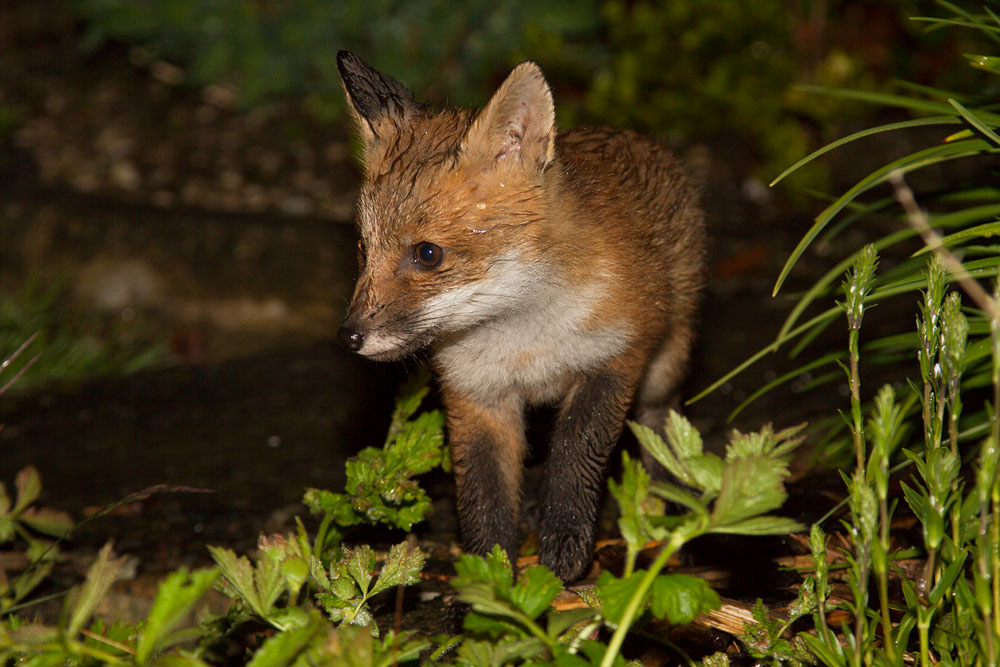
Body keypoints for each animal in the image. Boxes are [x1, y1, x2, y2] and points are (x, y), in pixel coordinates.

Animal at [335, 51, 705, 583]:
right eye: (364, 249)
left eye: (427, 254)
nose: (349, 336)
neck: (524, 339)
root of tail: (636, 138)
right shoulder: (476, 395)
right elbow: (483, 498)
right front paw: (487, 586)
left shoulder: (614, 361)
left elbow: (575, 452)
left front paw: (565, 545)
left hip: (665, 365)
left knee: (660, 422)